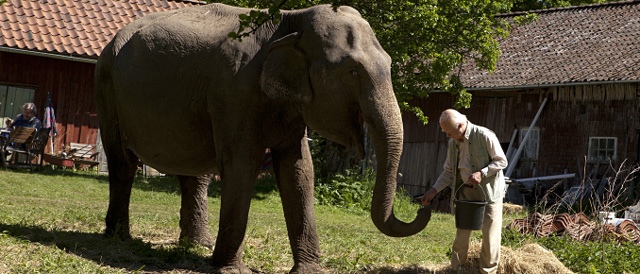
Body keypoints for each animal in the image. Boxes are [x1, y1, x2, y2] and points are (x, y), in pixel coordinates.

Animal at [94, 2, 430, 274]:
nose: (422, 205)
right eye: (352, 71)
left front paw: (308, 270)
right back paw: (119, 237)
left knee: (194, 172)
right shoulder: (235, 91)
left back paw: (198, 245)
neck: (291, 20)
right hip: (106, 83)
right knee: (123, 163)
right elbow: (243, 163)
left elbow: (298, 169)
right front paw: (231, 269)